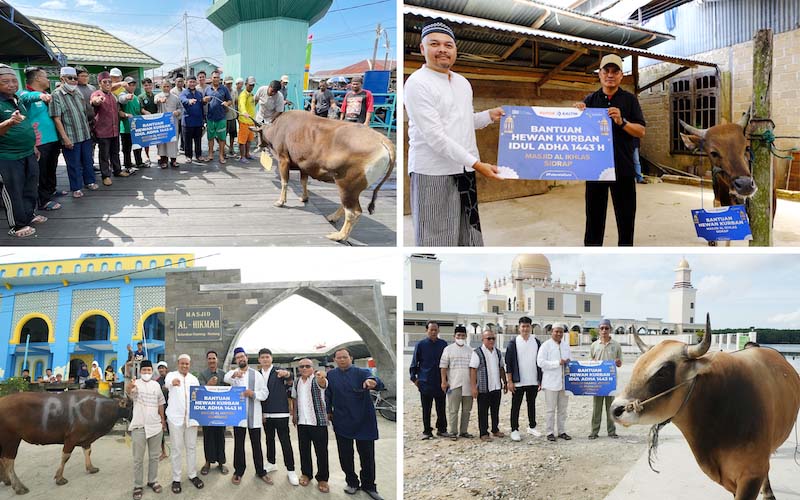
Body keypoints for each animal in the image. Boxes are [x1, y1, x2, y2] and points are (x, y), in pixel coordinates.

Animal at [0, 388, 130, 494]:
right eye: (131, 405)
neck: (97, 408)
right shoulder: (71, 438)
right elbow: (65, 457)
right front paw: (59, 478)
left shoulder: (86, 438)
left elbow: (88, 451)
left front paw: (91, 468)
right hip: (11, 439)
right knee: (8, 460)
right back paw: (18, 487)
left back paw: (6, 480)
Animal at [252, 109, 396, 242]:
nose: (258, 145)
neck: (279, 127)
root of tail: (383, 140)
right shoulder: (304, 165)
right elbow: (303, 182)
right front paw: (304, 198)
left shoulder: (283, 160)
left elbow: (284, 182)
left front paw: (280, 201)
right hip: (352, 189)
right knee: (347, 206)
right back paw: (333, 217)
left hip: (347, 185)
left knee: (353, 212)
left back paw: (339, 236)